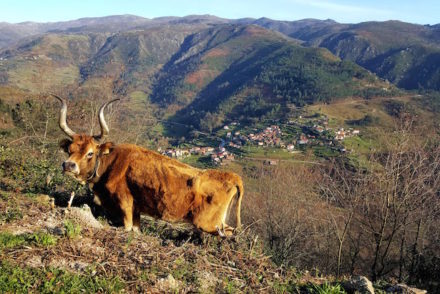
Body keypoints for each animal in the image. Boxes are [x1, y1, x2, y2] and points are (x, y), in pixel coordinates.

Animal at [53, 95, 244, 238]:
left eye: (90, 153)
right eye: (69, 150)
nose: (69, 165)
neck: (111, 164)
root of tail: (232, 176)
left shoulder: (125, 203)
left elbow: (127, 228)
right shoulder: (136, 210)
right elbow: (136, 230)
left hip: (209, 222)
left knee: (229, 234)